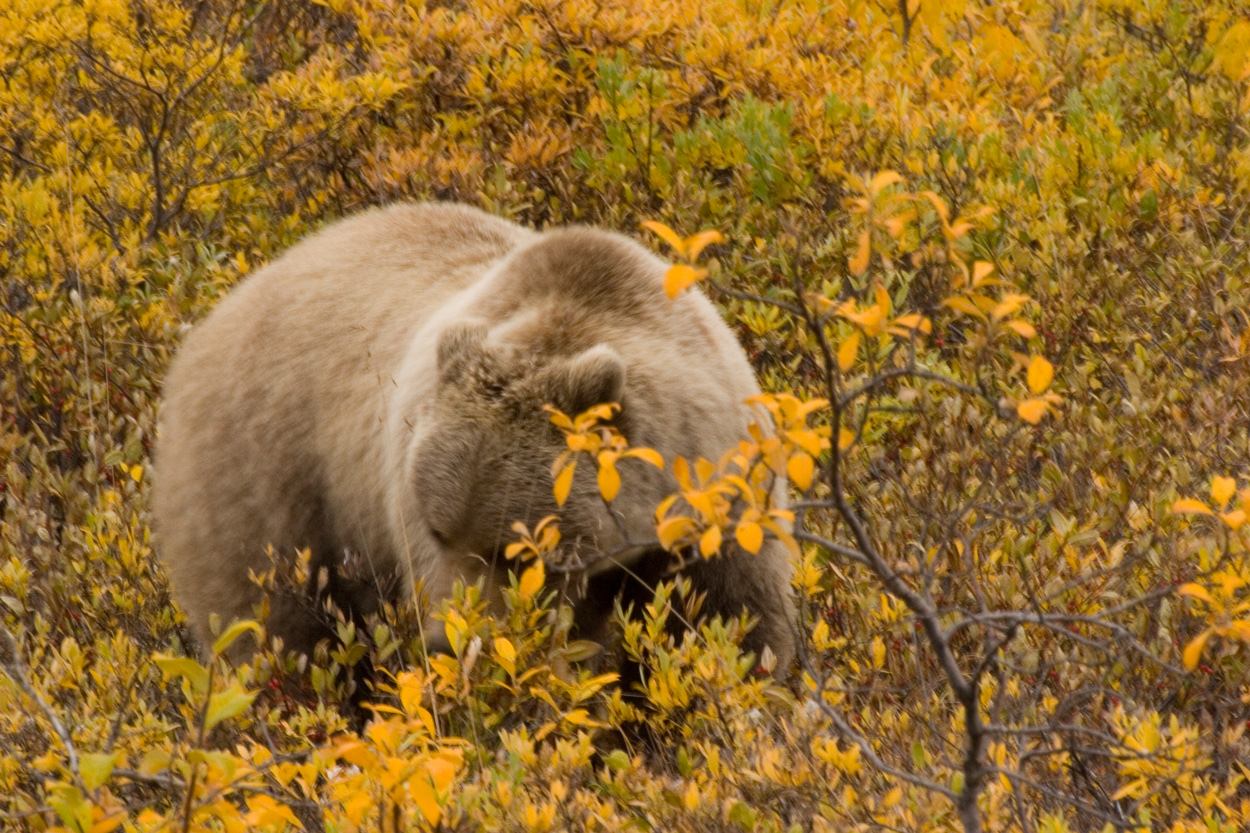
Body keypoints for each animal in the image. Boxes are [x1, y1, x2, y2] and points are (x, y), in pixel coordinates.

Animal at [156, 201, 795, 670]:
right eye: (437, 530)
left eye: (515, 551)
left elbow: (734, 619)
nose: (450, 638)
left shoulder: (721, 491)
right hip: (271, 487)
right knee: (278, 636)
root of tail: (204, 328)